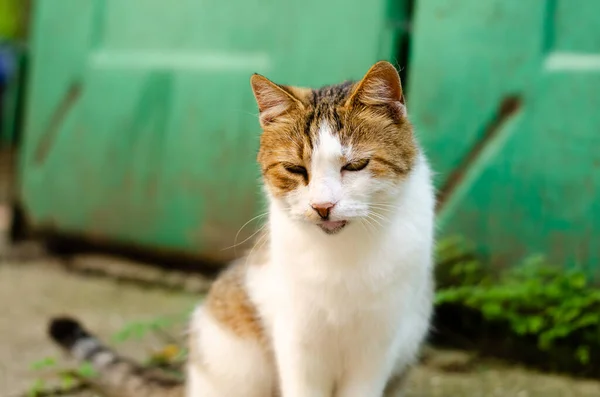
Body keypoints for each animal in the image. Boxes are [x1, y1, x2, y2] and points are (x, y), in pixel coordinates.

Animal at [45, 59, 432, 396]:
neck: (342, 256)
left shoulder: (378, 345)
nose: (322, 207)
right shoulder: (296, 339)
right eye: (295, 169)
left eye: (355, 166)